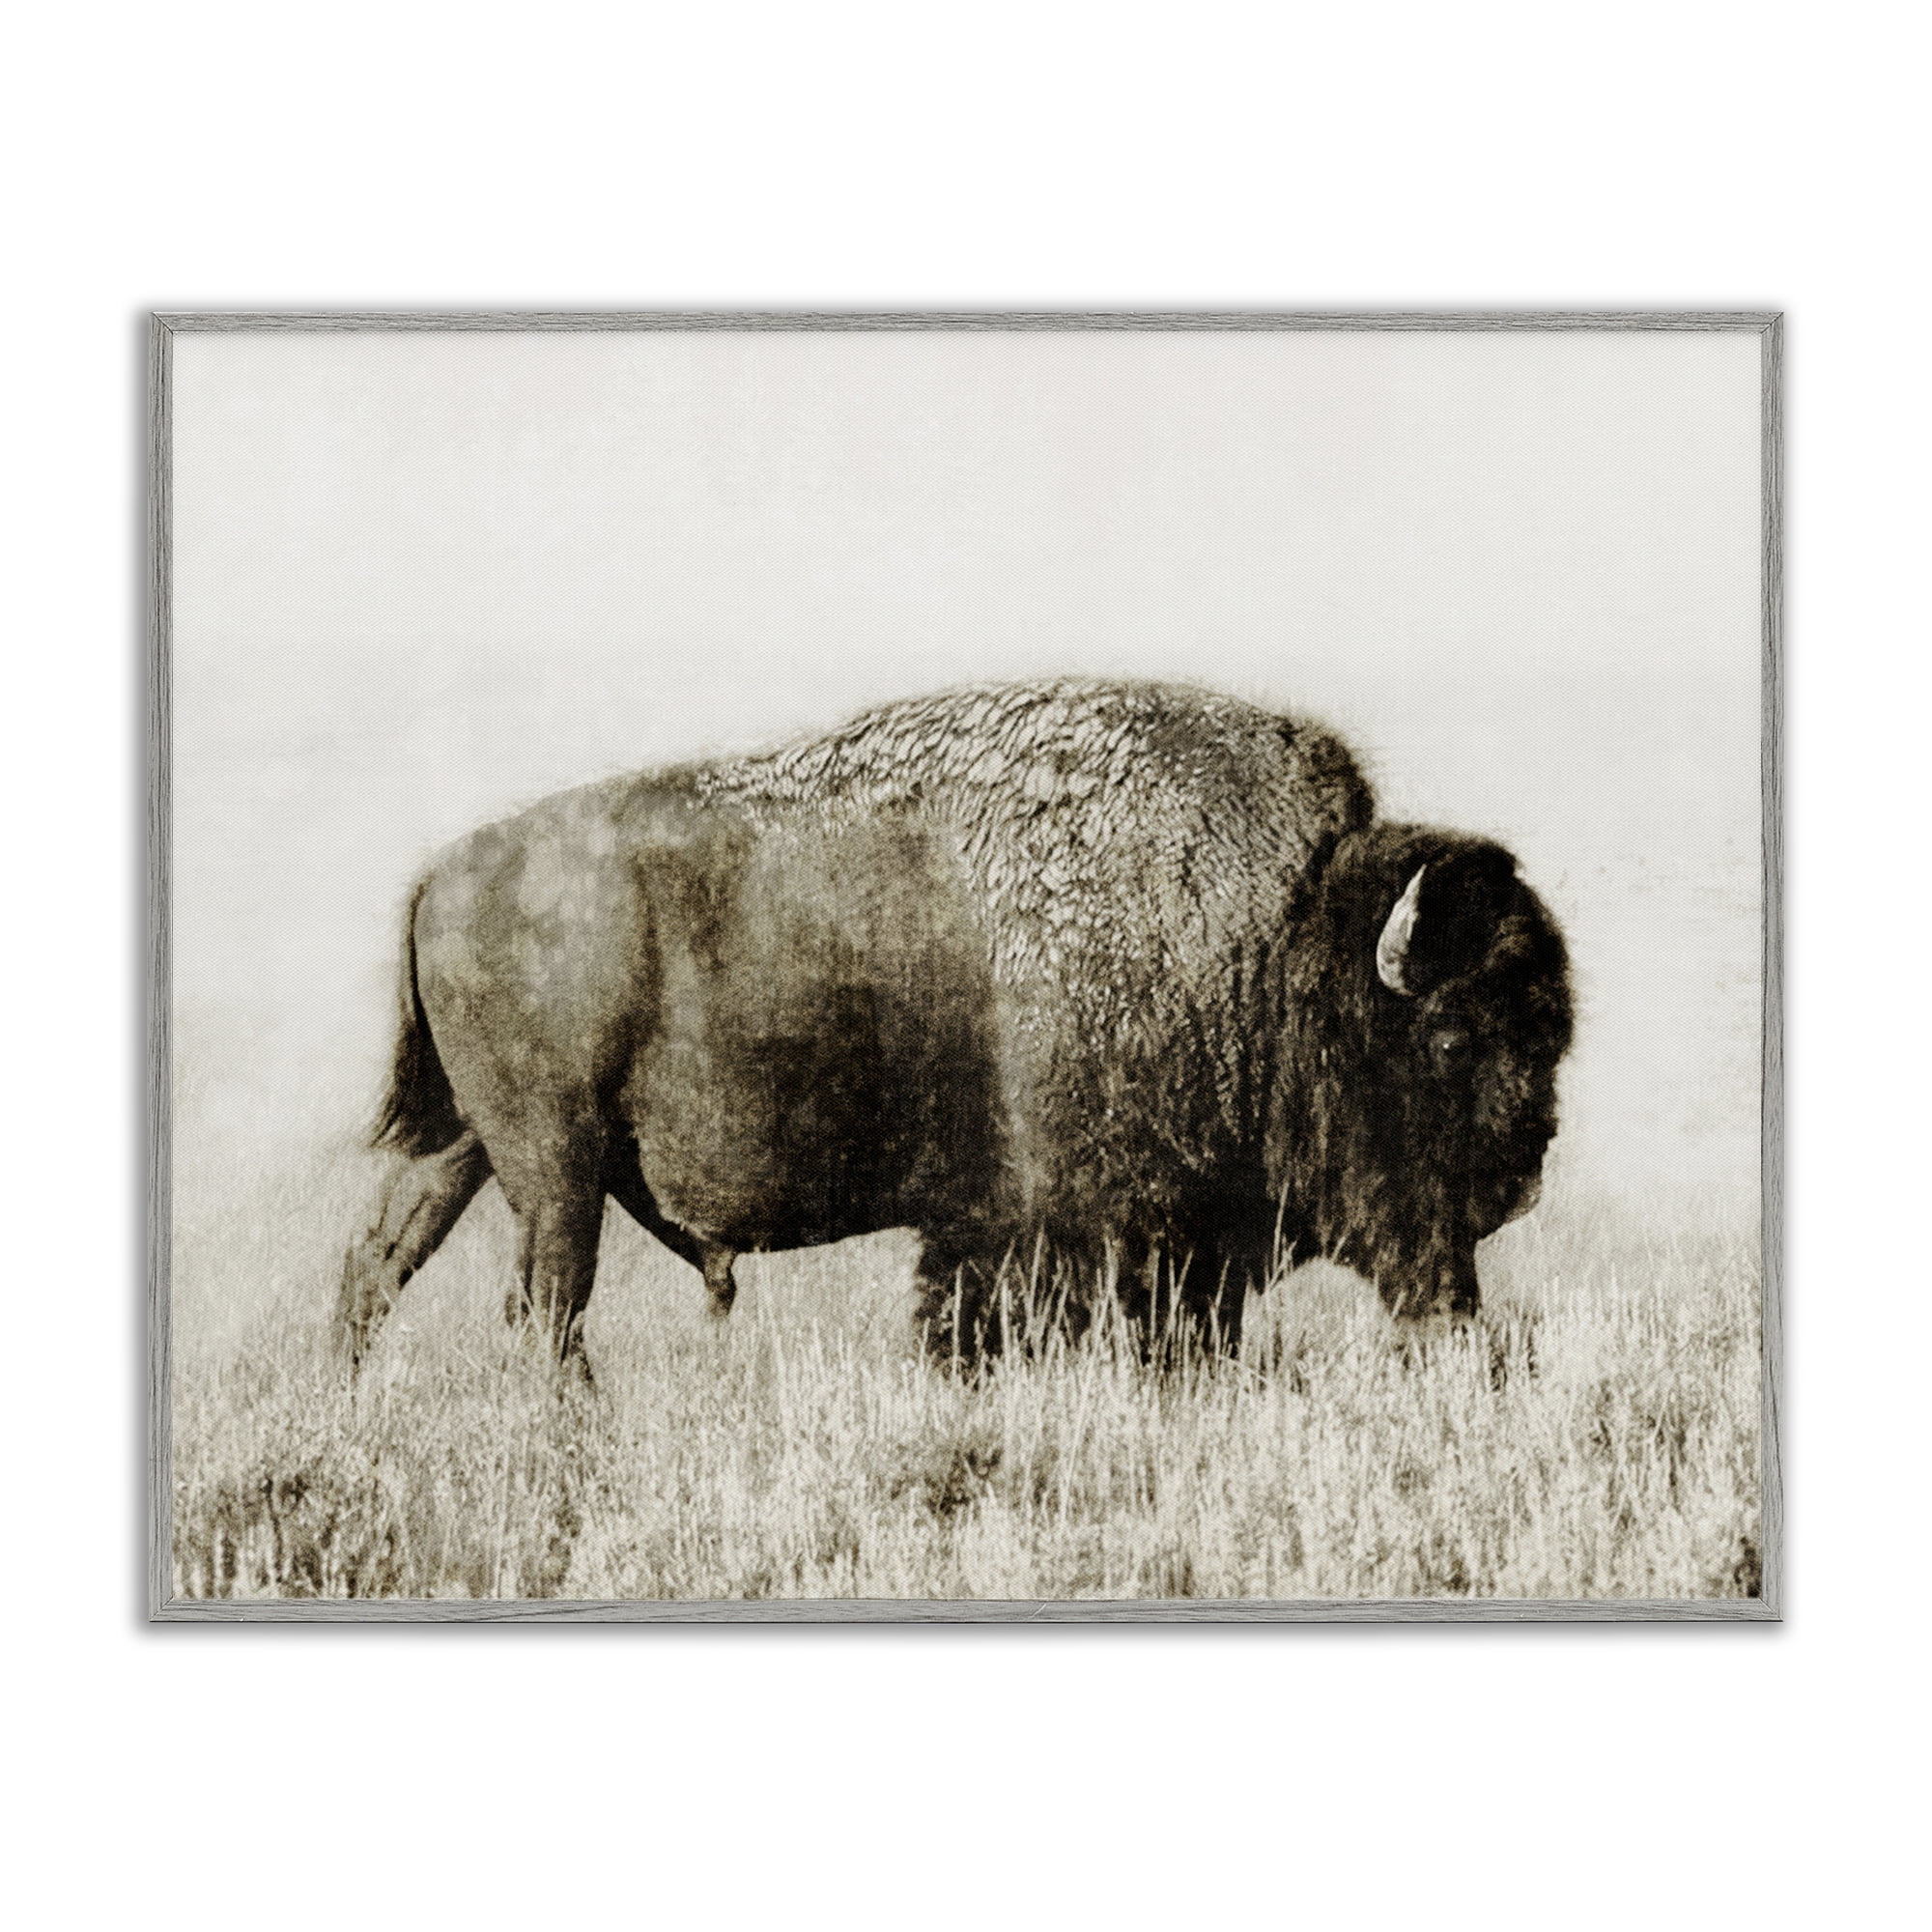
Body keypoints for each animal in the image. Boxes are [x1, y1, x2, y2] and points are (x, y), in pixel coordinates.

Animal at [339, 678, 1572, 1371]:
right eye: (1450, 1039)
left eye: (1547, 1033)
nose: (1517, 1179)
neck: (1271, 938)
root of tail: (441, 873)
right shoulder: (1085, 1236)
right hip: (554, 1159)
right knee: (545, 1305)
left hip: (470, 1147)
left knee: (378, 1266)